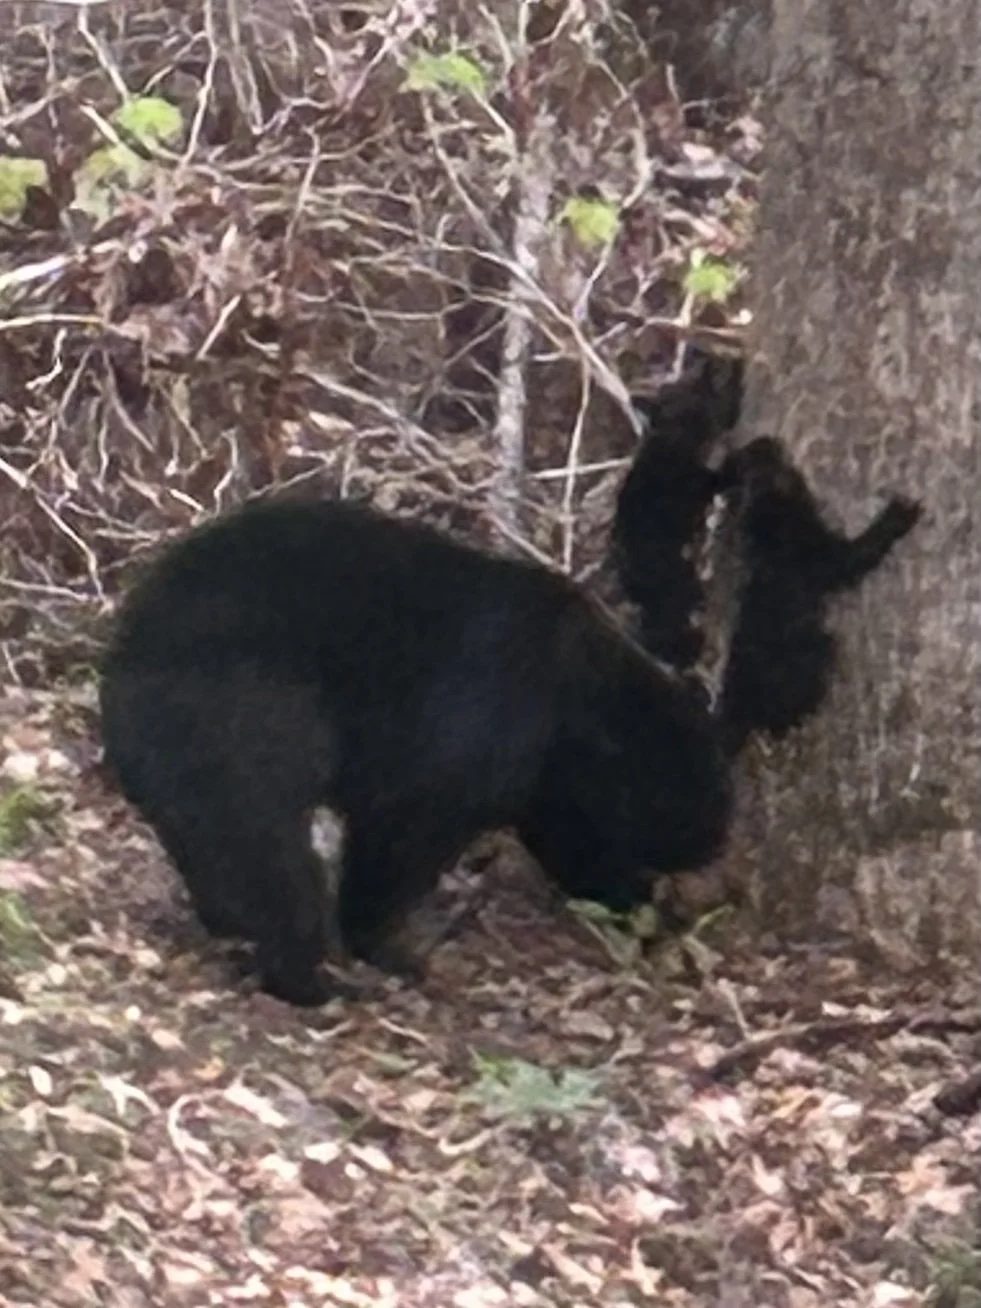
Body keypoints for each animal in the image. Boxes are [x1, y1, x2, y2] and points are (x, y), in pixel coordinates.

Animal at [99, 495, 733, 1006]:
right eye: (691, 800)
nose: (714, 845)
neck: (578, 697)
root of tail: (123, 658)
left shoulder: (549, 776)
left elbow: (571, 840)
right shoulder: (488, 712)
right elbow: (409, 821)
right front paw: (383, 940)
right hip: (236, 714)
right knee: (264, 846)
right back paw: (306, 975)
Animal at [716, 435, 923, 755]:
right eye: (756, 457)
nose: (769, 440)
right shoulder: (824, 557)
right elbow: (857, 553)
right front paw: (899, 512)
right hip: (815, 655)